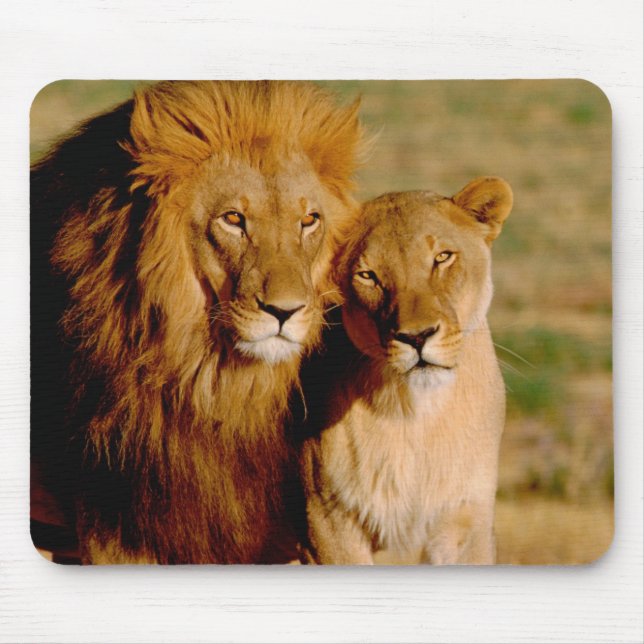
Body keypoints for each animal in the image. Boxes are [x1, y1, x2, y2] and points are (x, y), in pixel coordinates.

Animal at [298, 177, 513, 564]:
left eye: (442, 257)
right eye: (368, 276)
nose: (416, 336)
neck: (417, 416)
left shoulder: (469, 521)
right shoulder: (326, 521)